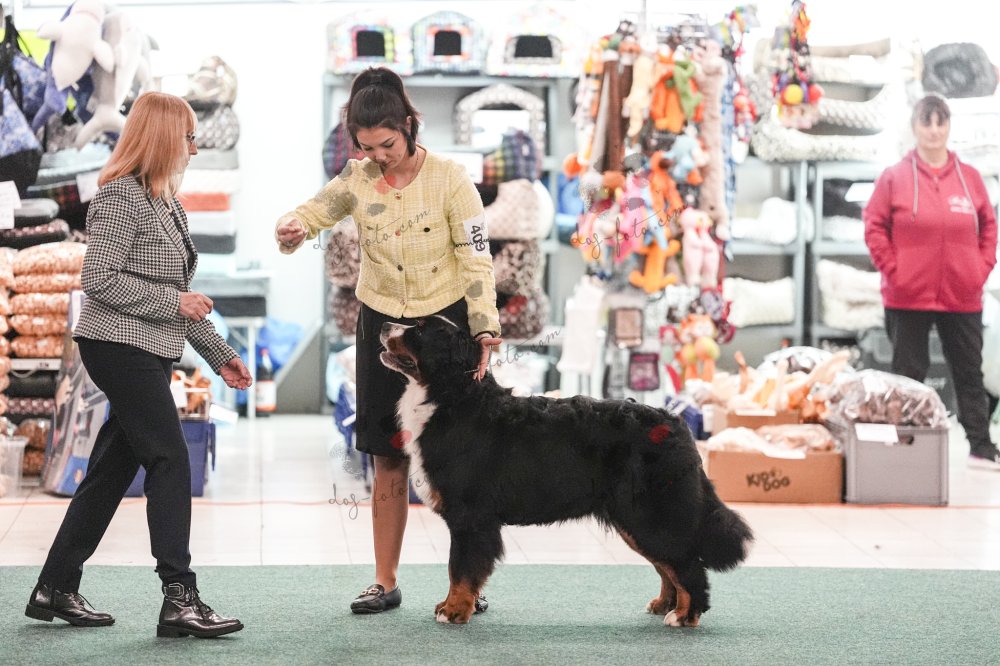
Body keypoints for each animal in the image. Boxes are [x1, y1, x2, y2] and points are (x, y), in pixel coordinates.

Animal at [379, 316, 753, 627]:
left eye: (420, 330)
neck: (452, 397)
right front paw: (448, 605)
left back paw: (685, 615)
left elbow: (460, 569)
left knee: (687, 564)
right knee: (668, 565)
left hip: (650, 515)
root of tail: (675, 421)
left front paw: (455, 610)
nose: (384, 325)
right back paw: (665, 604)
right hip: (636, 520)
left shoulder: (470, 518)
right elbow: (458, 569)